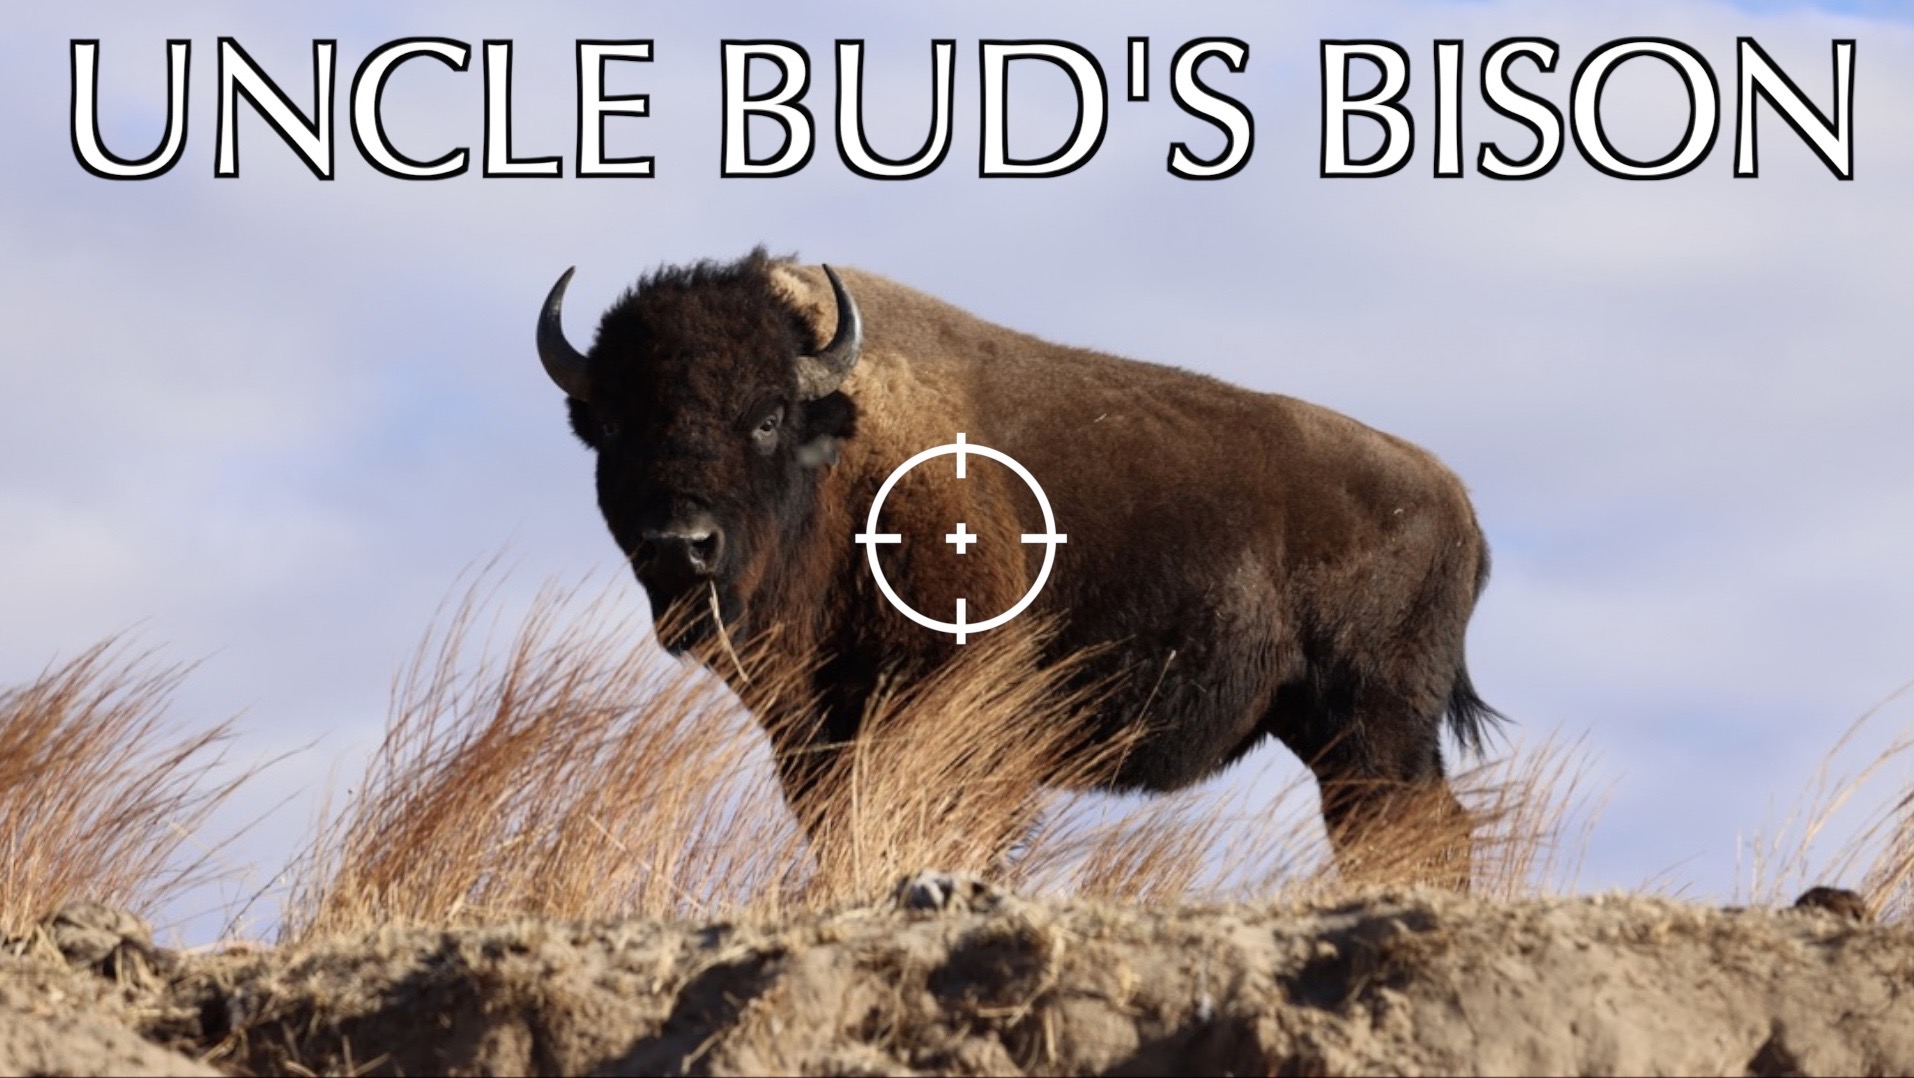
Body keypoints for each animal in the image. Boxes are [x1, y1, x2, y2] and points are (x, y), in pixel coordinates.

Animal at [535, 249, 1501, 883]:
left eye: (766, 416)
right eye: (613, 425)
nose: (680, 544)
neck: (843, 455)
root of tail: (1453, 498)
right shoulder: (817, 738)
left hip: (1373, 729)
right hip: (1341, 732)